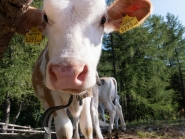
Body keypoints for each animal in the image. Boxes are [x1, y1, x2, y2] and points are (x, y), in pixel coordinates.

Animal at [15, 0, 152, 139]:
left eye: (103, 19)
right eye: (45, 17)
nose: (68, 73)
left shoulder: (88, 95)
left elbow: (87, 126)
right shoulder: (50, 96)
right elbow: (64, 130)